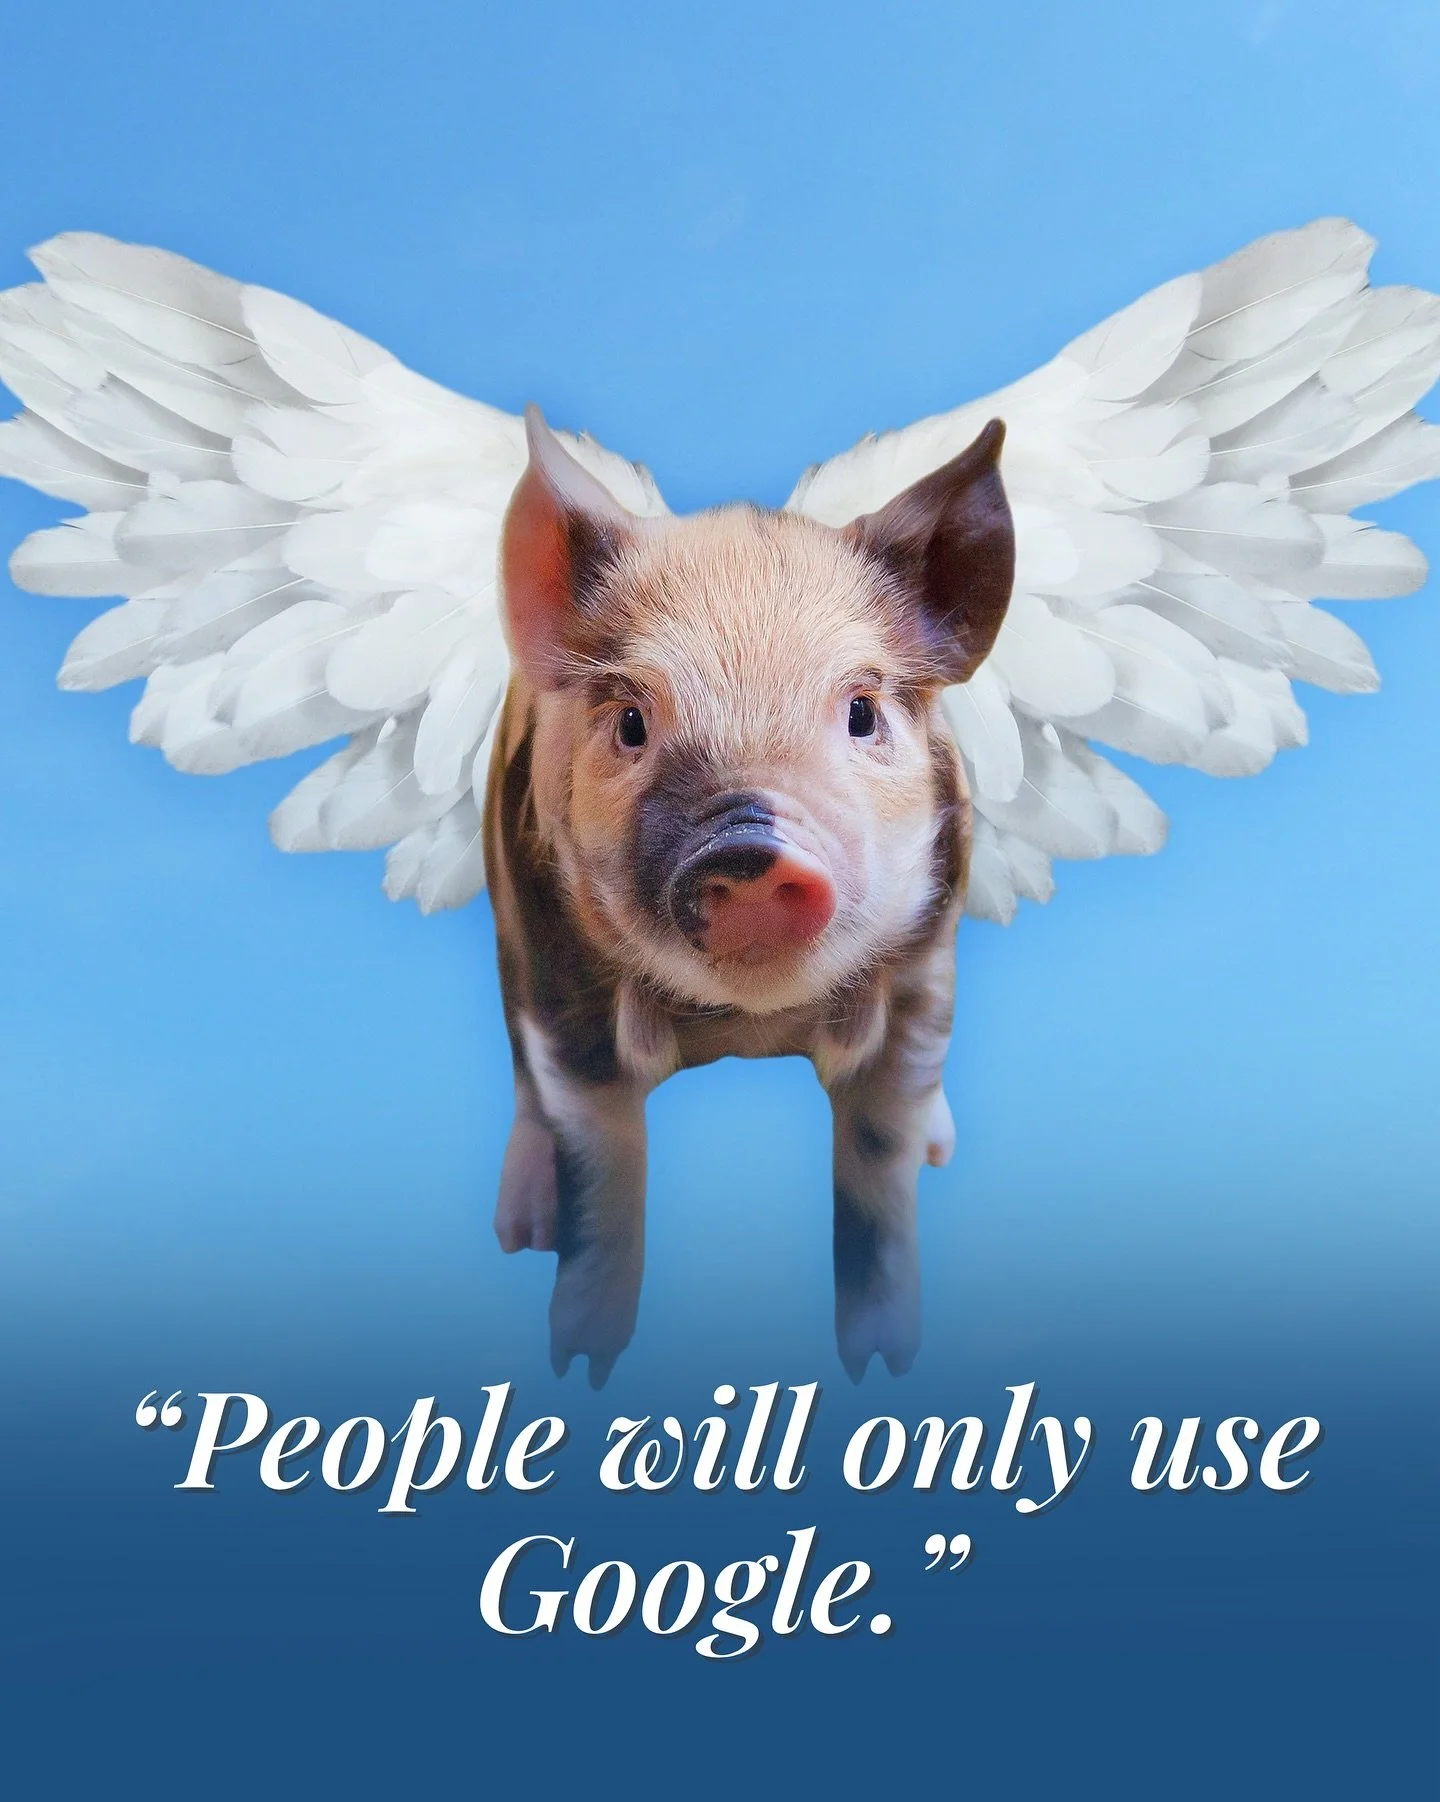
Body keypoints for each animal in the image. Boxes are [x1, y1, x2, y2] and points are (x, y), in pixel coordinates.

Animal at [484, 407, 1015, 1385]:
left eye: (861, 713)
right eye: (631, 722)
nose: (748, 847)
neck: (748, 1026)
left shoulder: (926, 963)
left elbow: (880, 1156)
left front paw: (884, 1368)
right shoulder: (557, 970)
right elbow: (602, 1167)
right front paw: (579, 1368)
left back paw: (941, 1145)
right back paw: (519, 1230)